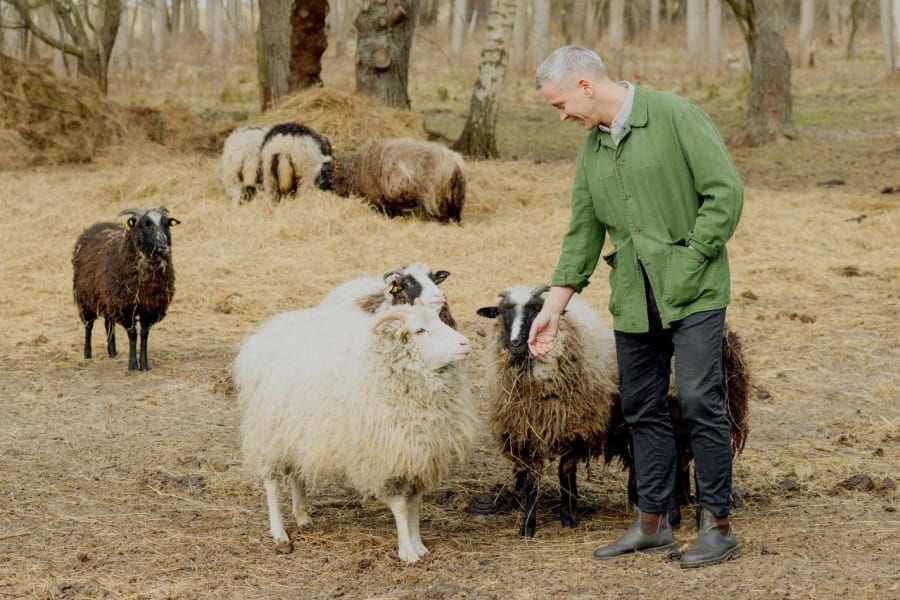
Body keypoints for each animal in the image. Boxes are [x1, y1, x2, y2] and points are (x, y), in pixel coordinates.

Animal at [72, 206, 180, 371]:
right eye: (145, 224)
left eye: (167, 223)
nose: (163, 244)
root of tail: (98, 225)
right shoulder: (126, 306)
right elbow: (133, 334)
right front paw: (132, 365)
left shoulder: (150, 307)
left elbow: (144, 335)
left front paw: (144, 364)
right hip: (85, 298)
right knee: (88, 325)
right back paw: (88, 353)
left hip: (107, 299)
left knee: (108, 323)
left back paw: (112, 351)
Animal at [232, 301, 479, 562]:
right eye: (419, 330)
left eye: (440, 320)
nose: (465, 343)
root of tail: (268, 330)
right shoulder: (383, 462)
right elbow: (401, 507)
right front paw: (407, 552)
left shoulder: (419, 457)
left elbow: (414, 505)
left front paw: (419, 545)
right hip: (268, 433)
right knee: (271, 483)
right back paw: (279, 531)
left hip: (297, 433)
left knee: (297, 475)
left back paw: (302, 517)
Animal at [329, 137, 466, 223]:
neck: (357, 169)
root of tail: (456, 162)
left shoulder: (378, 196)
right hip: (455, 194)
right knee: (454, 212)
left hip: (431, 194)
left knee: (438, 212)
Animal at [476, 284, 621, 538]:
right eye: (502, 312)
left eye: (536, 310)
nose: (516, 343)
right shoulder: (526, 434)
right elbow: (532, 479)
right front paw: (527, 524)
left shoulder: (571, 430)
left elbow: (564, 472)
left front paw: (567, 515)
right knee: (521, 472)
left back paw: (573, 500)